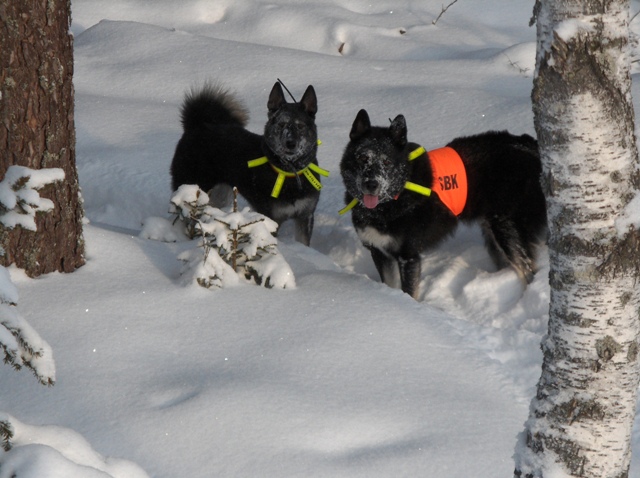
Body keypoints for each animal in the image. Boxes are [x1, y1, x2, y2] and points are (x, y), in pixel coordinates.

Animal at [170, 81, 324, 245]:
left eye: (300, 126)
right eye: (281, 124)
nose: (290, 143)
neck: (289, 173)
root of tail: (196, 125)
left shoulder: (305, 216)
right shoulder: (271, 218)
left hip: (219, 194)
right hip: (192, 191)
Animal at [340, 110, 544, 300]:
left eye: (386, 161)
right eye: (362, 158)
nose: (371, 184)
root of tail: (533, 148)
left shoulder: (408, 256)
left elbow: (409, 292)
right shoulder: (379, 251)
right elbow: (389, 284)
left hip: (507, 230)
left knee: (527, 270)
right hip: (493, 231)